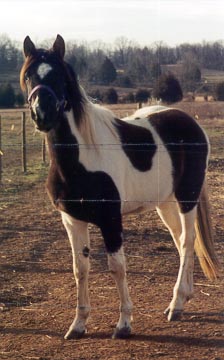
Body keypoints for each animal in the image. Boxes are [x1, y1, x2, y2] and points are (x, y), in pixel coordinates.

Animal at [20, 34, 220, 340]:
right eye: (29, 75)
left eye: (59, 76)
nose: (42, 115)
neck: (82, 156)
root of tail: (189, 121)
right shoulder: (71, 220)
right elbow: (80, 269)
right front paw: (78, 324)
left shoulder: (110, 220)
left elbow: (117, 267)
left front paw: (124, 323)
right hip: (165, 203)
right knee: (179, 240)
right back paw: (181, 300)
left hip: (187, 197)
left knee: (187, 241)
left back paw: (175, 305)